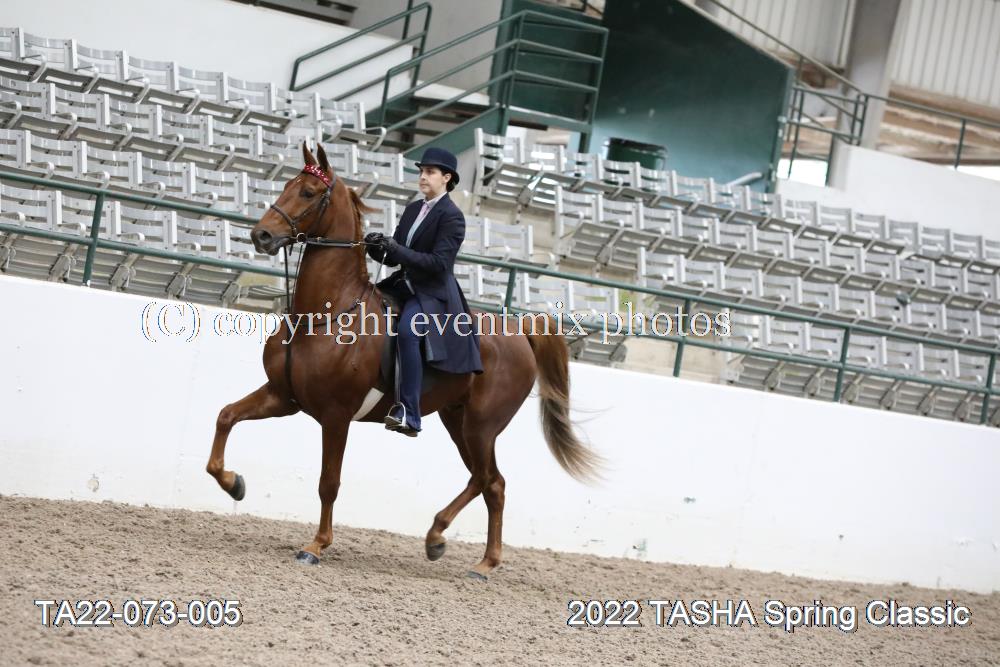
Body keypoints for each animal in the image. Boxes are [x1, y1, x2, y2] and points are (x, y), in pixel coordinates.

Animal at [205, 142, 602, 580]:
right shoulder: (282, 396)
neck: (323, 315)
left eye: (308, 192)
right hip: (458, 421)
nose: (261, 234)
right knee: (489, 482)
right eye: (287, 185)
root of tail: (518, 332)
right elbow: (225, 416)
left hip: (482, 425)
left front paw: (316, 546)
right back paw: (467, 554)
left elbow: (329, 482)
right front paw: (233, 483)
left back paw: (454, 546)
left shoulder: (336, 416)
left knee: (486, 480)